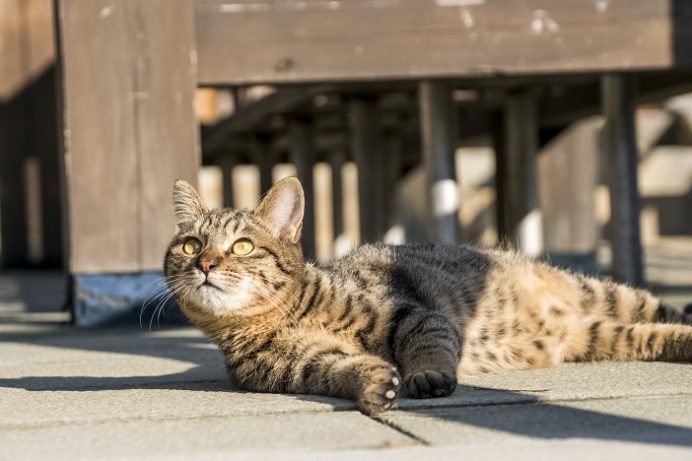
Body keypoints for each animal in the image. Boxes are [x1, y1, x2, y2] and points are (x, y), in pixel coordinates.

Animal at [166, 174, 692, 416]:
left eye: (242, 245)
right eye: (190, 245)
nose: (205, 264)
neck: (277, 320)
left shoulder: (411, 315)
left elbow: (429, 344)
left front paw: (426, 375)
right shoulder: (303, 366)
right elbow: (342, 369)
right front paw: (374, 383)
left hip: (606, 295)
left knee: (664, 309)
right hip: (603, 334)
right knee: (650, 334)